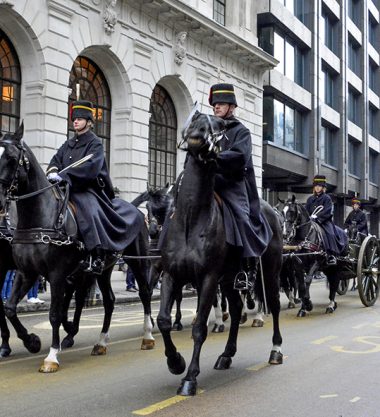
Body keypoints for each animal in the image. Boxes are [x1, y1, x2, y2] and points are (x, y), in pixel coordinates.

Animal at [0, 123, 154, 370]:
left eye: (12, 158)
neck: (39, 217)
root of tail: (135, 209)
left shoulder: (56, 274)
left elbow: (54, 313)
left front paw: (52, 355)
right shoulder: (26, 272)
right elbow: (10, 308)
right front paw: (31, 341)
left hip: (137, 262)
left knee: (145, 293)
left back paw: (147, 336)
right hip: (102, 269)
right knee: (109, 301)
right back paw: (100, 342)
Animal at [156, 112, 284, 394]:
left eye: (219, 127)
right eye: (195, 119)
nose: (197, 136)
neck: (191, 219)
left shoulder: (208, 278)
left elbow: (199, 328)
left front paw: (190, 378)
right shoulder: (171, 275)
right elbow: (163, 320)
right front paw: (175, 362)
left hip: (269, 272)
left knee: (274, 304)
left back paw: (276, 350)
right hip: (228, 280)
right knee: (236, 310)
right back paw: (226, 355)